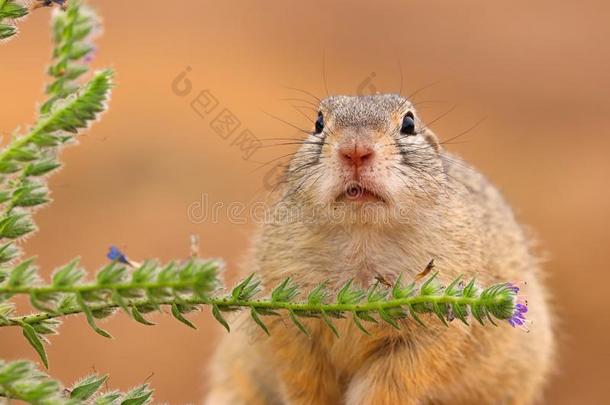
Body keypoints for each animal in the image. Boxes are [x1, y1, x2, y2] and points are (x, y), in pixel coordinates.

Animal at [203, 93, 552, 402]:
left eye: (409, 123)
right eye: (318, 122)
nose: (355, 150)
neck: (362, 237)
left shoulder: (429, 330)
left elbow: (388, 384)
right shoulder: (290, 313)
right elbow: (304, 380)